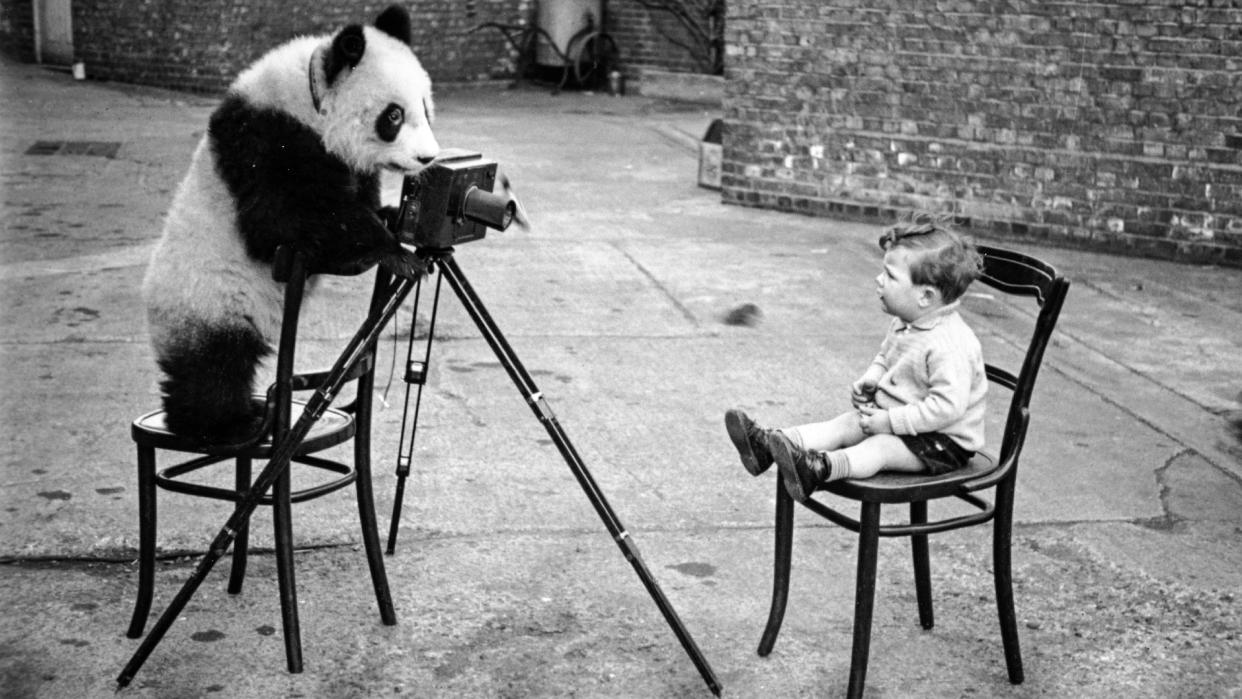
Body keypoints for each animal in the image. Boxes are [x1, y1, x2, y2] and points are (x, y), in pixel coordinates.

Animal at [145, 5, 439, 439]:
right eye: (394, 116)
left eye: (426, 109)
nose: (427, 158)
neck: (308, 96)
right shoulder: (265, 141)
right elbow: (279, 222)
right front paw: (397, 253)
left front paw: (389, 217)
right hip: (207, 297)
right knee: (214, 366)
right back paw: (224, 423)